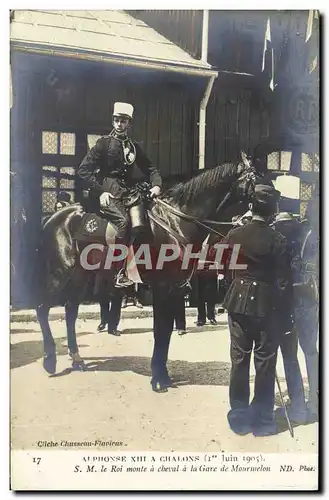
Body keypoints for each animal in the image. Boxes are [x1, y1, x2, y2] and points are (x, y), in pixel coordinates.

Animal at [36, 155, 262, 390]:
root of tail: (54, 218)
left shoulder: (174, 289)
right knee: (43, 309)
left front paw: (163, 375)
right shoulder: (162, 287)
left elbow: (166, 333)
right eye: (256, 178)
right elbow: (160, 331)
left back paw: (77, 359)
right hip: (60, 274)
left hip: (79, 277)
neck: (176, 223)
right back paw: (50, 361)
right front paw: (158, 379)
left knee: (70, 312)